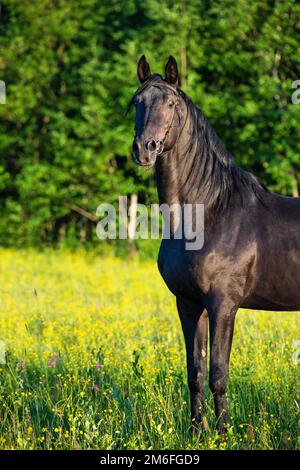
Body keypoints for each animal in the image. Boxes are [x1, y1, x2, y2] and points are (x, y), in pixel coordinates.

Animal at [129, 56, 300, 434]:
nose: (145, 149)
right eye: (137, 102)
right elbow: (195, 373)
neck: (209, 213)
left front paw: (223, 434)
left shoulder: (224, 305)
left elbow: (218, 374)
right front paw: (197, 432)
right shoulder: (189, 304)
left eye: (172, 103)